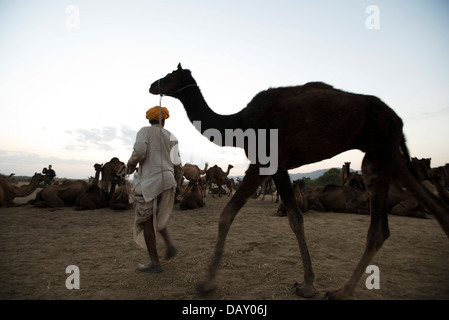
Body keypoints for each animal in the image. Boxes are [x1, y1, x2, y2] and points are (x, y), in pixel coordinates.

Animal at [150, 63, 448, 300]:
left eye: (170, 75)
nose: (153, 84)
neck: (240, 122)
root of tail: (398, 119)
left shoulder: (262, 162)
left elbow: (227, 214)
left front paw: (207, 283)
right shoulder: (279, 167)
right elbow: (295, 219)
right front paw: (307, 285)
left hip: (379, 152)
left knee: (379, 230)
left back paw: (341, 291)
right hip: (391, 154)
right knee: (434, 207)